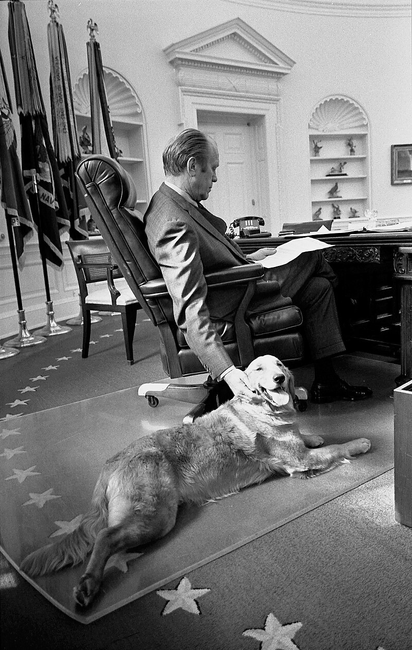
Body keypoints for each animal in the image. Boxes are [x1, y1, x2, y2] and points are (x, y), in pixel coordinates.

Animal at [20, 354, 372, 604]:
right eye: (259, 369)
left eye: (281, 365)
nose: (280, 378)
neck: (262, 410)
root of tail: (112, 461)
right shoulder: (299, 461)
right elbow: (336, 447)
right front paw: (361, 442)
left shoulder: (298, 448)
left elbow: (312, 437)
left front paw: (313, 434)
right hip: (155, 516)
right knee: (105, 537)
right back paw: (88, 585)